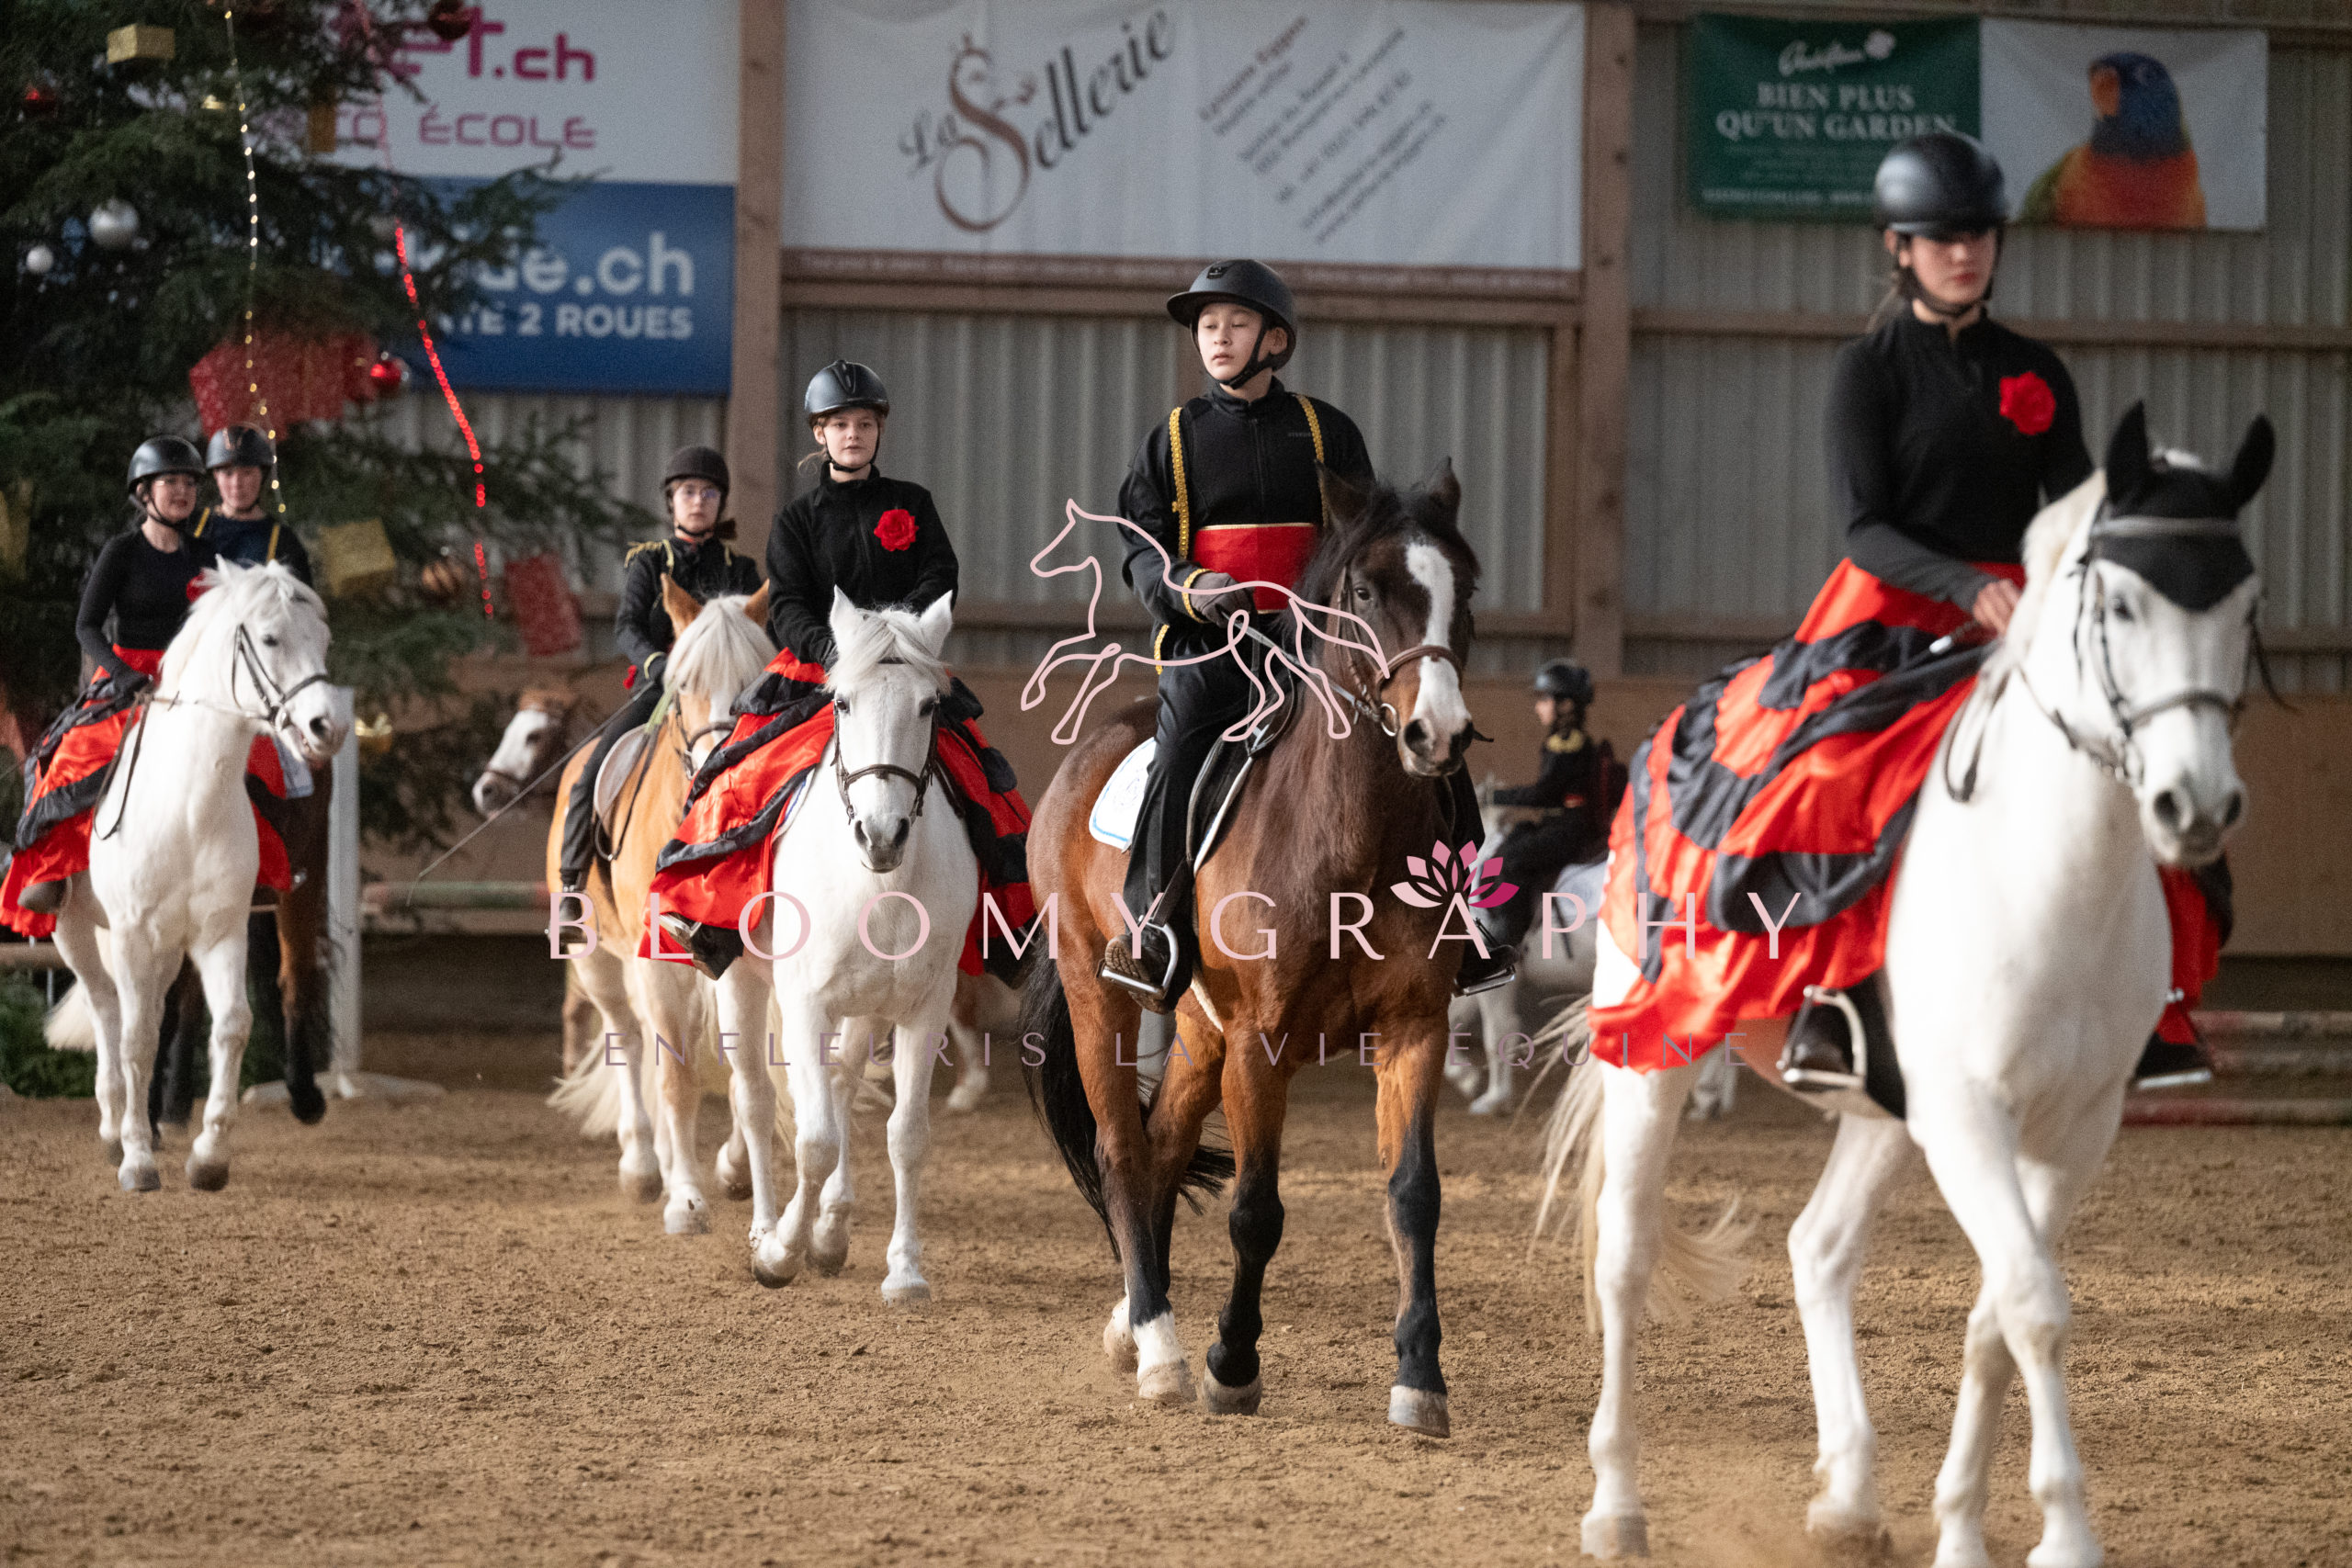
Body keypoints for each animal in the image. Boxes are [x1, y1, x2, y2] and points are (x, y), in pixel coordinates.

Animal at [47, 561, 346, 1192]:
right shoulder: (134, 933)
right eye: (270, 639)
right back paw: (114, 1125)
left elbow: (230, 1023)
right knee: (107, 1006)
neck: (187, 807)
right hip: (76, 932)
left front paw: (209, 1155)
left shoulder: (219, 931)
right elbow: (137, 1035)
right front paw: (138, 1157)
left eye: (325, 639)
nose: (326, 726)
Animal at [544, 579, 777, 1235]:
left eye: (759, 681)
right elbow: (675, 1079)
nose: (724, 767)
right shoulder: (656, 960)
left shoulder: (735, 957)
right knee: (627, 1038)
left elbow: (741, 1069)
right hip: (601, 960)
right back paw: (647, 1169)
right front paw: (688, 1201)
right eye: (684, 683)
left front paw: (732, 1170)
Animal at [710, 591, 978, 1302]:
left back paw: (829, 1230)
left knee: (839, 1083)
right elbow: (813, 1139)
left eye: (928, 705)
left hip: (865, 1009)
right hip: (741, 984)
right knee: (755, 1096)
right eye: (843, 703)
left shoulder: (922, 1008)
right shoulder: (805, 1004)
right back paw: (766, 1225)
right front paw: (779, 1254)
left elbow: (906, 1135)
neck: (879, 886)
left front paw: (904, 1270)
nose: (880, 834)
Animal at [1024, 464, 1487, 1434]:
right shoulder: (1261, 1043)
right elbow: (1257, 1211)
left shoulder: (1413, 1027)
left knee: (1162, 1145)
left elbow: (1414, 1195)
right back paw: (1160, 1346)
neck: (1350, 833)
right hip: (1098, 990)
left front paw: (1420, 1376)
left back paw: (1136, 1319)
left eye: (1465, 588)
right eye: (1363, 591)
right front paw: (1230, 1363)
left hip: (1203, 1033)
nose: (1438, 734)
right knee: (1124, 1149)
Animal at [1537, 405, 2271, 1564]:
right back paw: (1616, 1505)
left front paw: (1963, 1527)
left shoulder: (2071, 1129)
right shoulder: (1969, 1115)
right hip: (1655, 1053)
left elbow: (1995, 1313)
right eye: (2118, 602)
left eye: (2246, 607)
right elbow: (2030, 1304)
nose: (2192, 805)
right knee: (1625, 1252)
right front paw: (2064, 1534)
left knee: (1819, 1247)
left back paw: (1847, 1497)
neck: (2047, 872)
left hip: (1885, 1106)